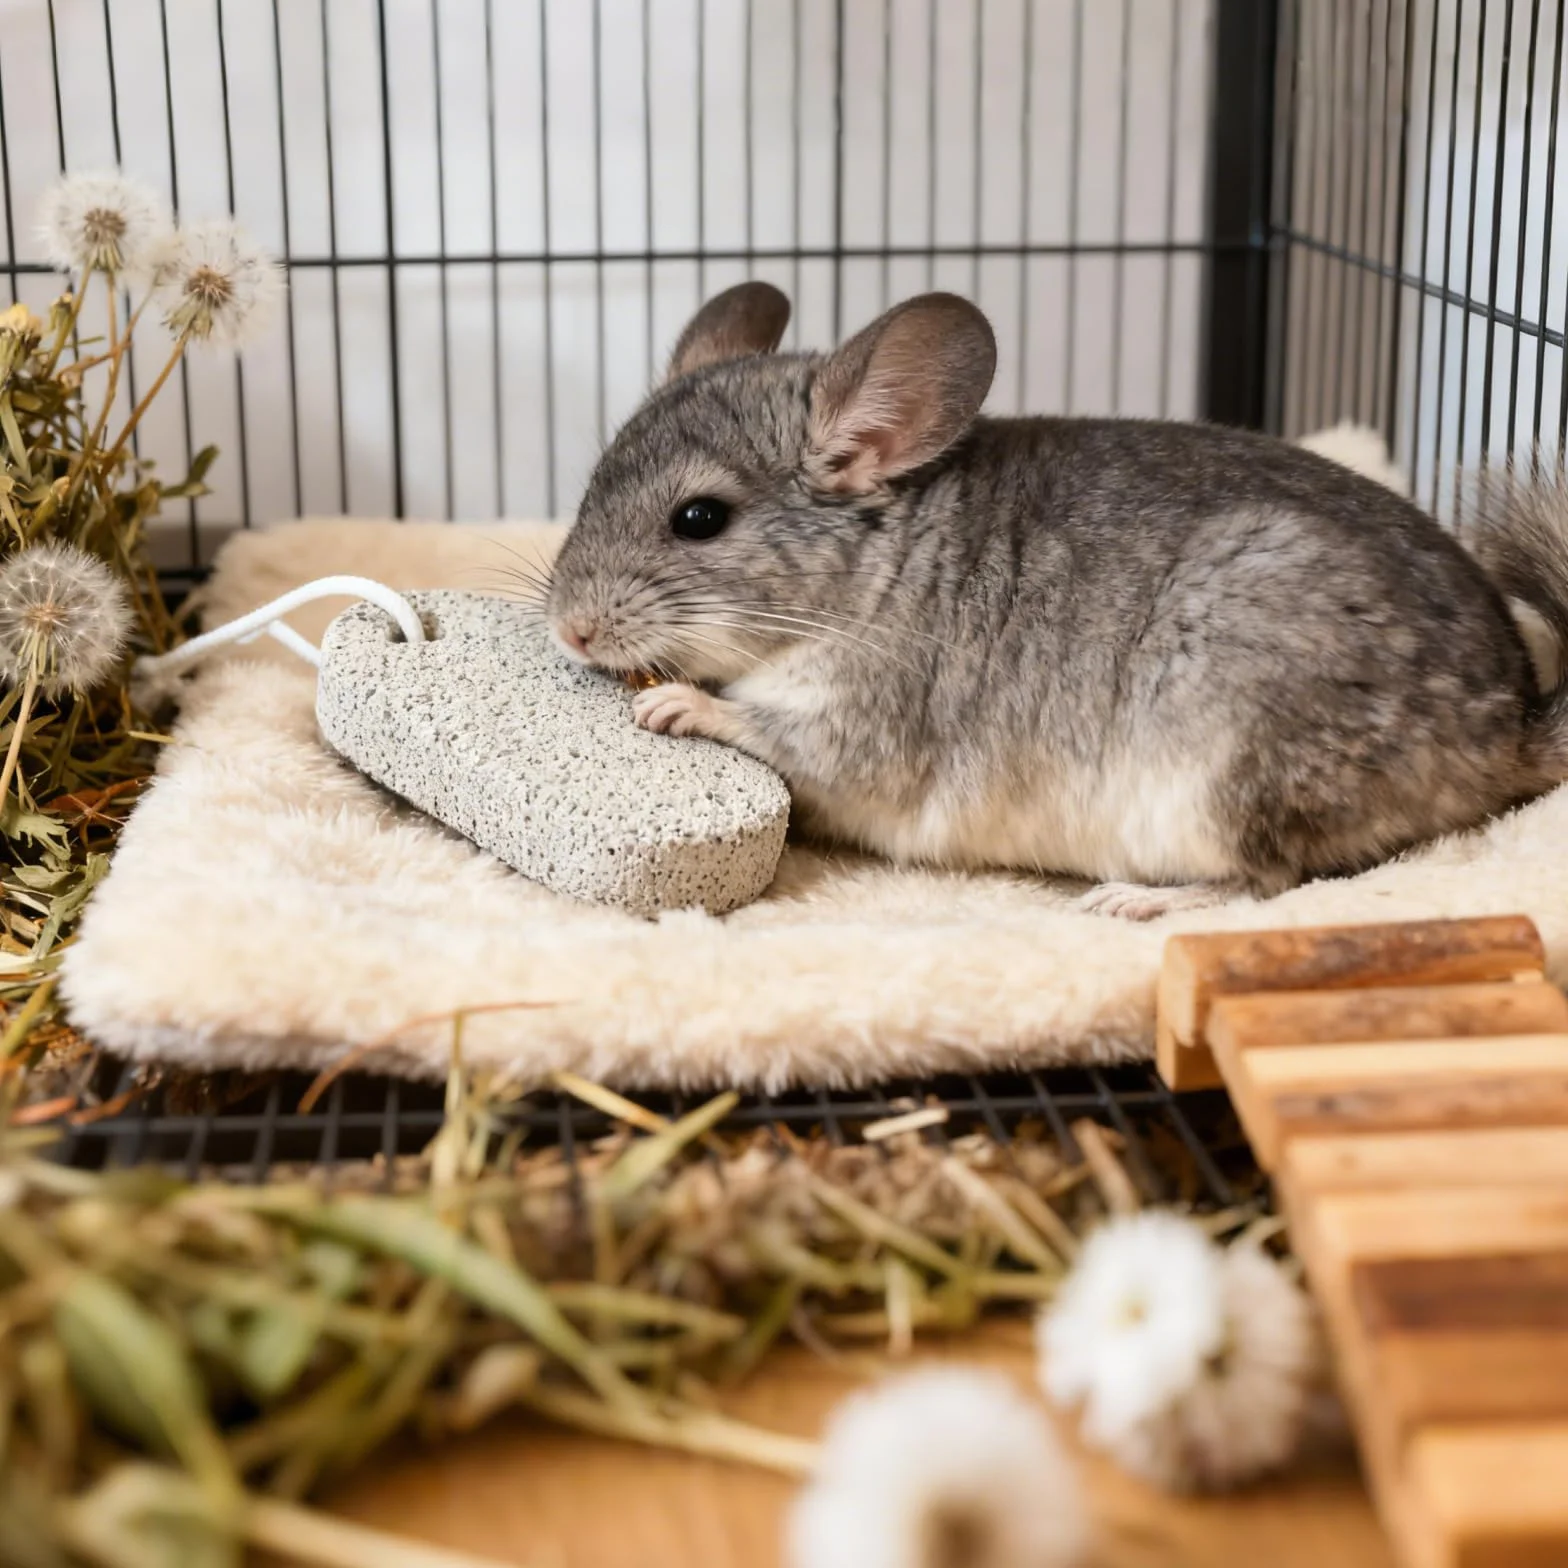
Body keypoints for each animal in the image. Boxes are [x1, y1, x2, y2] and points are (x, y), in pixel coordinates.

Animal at [544, 282, 1568, 919]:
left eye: (699, 518)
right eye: (588, 484)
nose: (570, 629)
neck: (876, 568)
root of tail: (1512, 722)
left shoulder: (870, 723)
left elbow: (774, 732)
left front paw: (679, 704)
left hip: (1234, 764)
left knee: (1271, 884)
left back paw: (1137, 899)